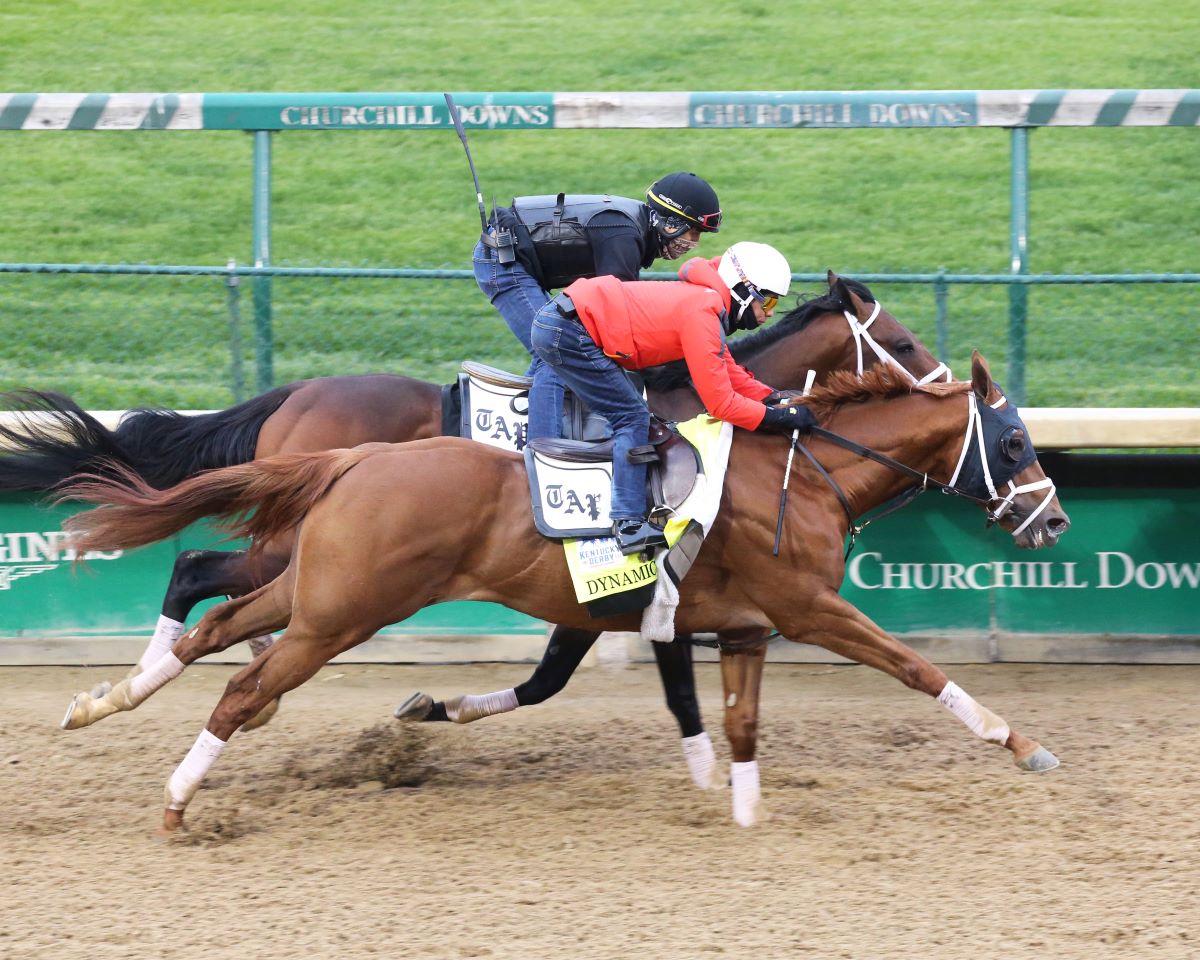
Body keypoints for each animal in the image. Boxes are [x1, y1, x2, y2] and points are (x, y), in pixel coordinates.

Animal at [7, 272, 945, 796]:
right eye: (898, 340)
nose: (944, 383)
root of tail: (296, 395)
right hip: (301, 549)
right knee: (203, 570)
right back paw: (187, 683)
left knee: (218, 583)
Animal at [58, 355, 1070, 835]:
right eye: (1015, 442)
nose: (1054, 521)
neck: (798, 476)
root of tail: (351, 458)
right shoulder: (805, 609)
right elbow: (911, 665)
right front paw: (1020, 743)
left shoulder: (739, 627)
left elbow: (735, 723)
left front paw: (742, 814)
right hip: (339, 613)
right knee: (239, 679)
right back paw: (178, 800)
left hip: (313, 592)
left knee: (217, 625)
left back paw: (104, 701)